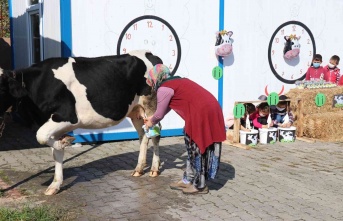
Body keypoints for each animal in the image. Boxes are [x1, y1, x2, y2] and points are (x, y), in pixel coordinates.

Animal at [0, 50, 163, 195]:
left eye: (2, 88)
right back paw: (139, 169)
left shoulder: (68, 116)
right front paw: (55, 184)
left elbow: (41, 136)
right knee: (143, 135)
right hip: (136, 111)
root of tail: (150, 54)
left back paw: (154, 169)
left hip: (151, 104)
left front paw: (65, 141)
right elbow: (56, 153)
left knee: (155, 133)